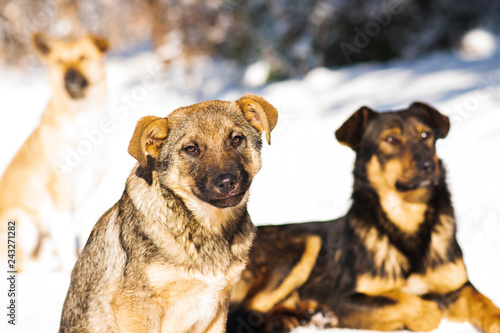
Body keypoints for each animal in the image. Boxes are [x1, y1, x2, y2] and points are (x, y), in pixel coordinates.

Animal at [0, 33, 109, 270]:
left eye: (82, 57)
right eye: (59, 61)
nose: (70, 77)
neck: (80, 117)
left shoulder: (93, 186)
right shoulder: (58, 189)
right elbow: (66, 237)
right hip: (24, 220)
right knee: (19, 265)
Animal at [59, 94, 278, 332]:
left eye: (236, 139)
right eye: (191, 148)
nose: (227, 181)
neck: (207, 229)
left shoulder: (217, 308)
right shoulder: (135, 306)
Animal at [229, 102, 500, 330]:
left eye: (426, 135)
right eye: (390, 139)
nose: (428, 166)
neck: (407, 220)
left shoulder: (460, 287)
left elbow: (485, 304)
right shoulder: (343, 299)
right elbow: (415, 304)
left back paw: (307, 314)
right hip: (304, 243)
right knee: (245, 311)